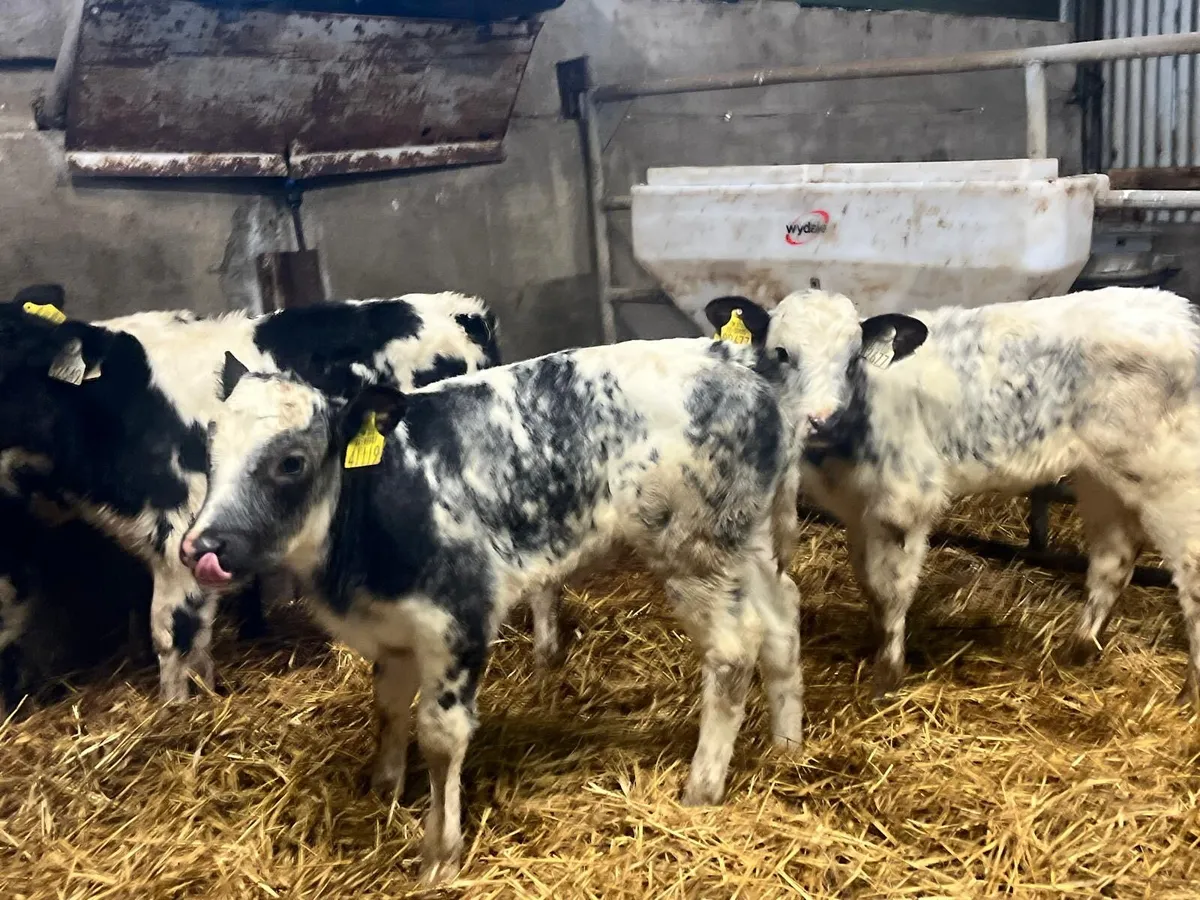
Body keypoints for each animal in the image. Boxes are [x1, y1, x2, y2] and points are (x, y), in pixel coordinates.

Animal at [178, 309, 824, 882]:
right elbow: (387, 708)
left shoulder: (457, 618)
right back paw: (787, 747)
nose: (202, 547)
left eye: (291, 462)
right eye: (209, 451)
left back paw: (701, 787)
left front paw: (439, 854)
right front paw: (384, 790)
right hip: (747, 542)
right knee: (781, 619)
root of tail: (736, 361)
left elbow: (441, 737)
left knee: (733, 650)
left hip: (694, 550)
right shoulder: (392, 631)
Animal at [714, 286, 1200, 709]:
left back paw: (1189, 694)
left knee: (1190, 575)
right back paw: (1078, 651)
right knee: (1112, 562)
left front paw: (887, 677)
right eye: (781, 353)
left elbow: (891, 590)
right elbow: (868, 583)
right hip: (1104, 478)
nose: (822, 420)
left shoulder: (906, 501)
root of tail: (1182, 313)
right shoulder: (860, 510)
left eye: (853, 358)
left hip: (1175, 482)